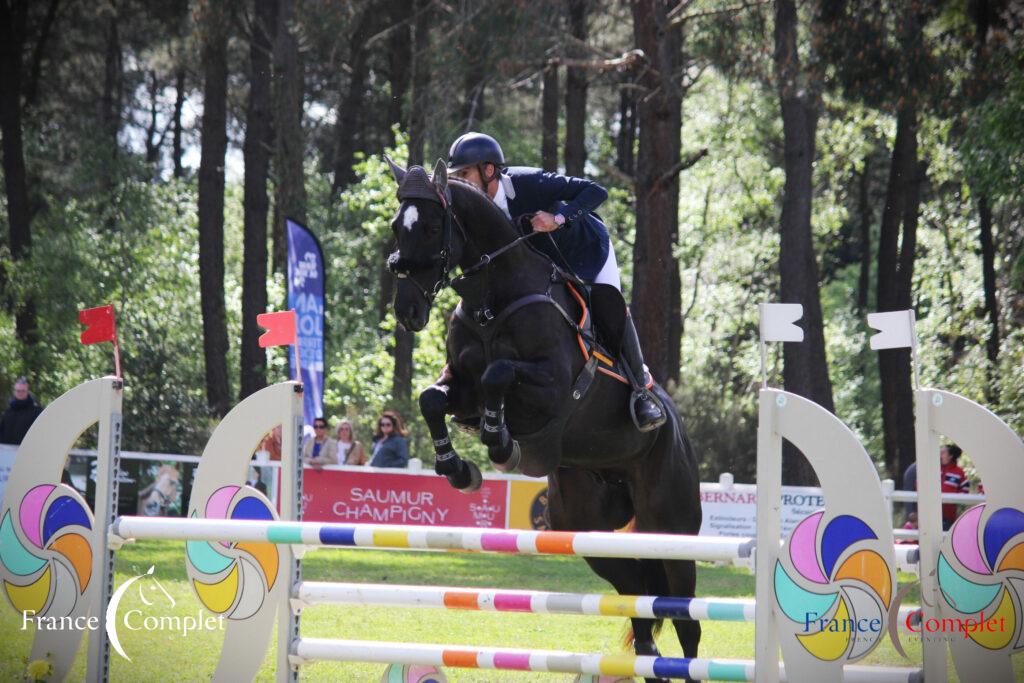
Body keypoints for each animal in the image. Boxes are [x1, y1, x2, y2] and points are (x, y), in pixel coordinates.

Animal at [385, 158, 704, 679]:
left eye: (431, 227)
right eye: (397, 226)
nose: (407, 311)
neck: (493, 295)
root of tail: (677, 429)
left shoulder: (551, 386)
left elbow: (498, 373)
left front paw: (499, 441)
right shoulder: (461, 388)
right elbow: (432, 398)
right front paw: (459, 468)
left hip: (671, 528)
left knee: (685, 619)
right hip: (587, 531)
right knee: (636, 593)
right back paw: (642, 655)